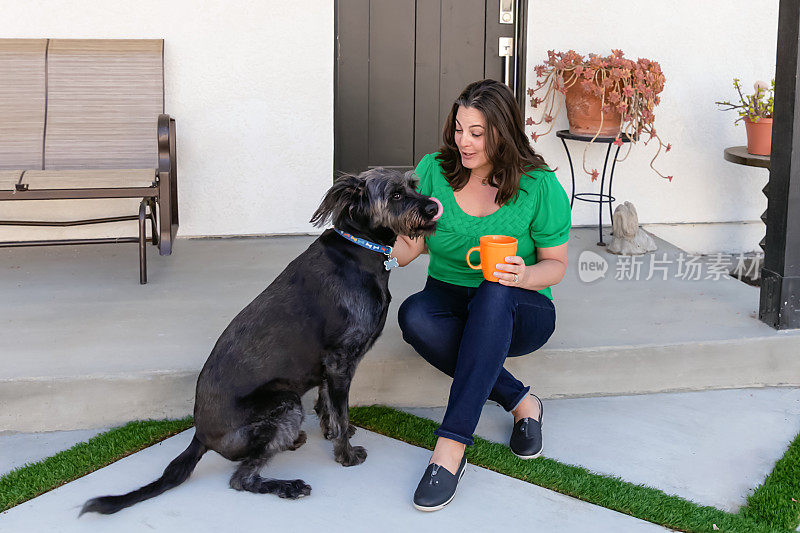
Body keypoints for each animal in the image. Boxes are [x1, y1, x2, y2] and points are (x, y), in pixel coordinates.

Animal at [80, 168, 440, 512]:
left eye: (413, 185)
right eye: (395, 195)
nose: (434, 208)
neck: (361, 248)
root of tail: (200, 436)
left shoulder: (330, 365)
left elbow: (327, 405)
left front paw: (332, 432)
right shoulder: (341, 361)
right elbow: (341, 410)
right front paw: (346, 455)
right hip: (286, 404)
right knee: (241, 478)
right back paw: (289, 485)